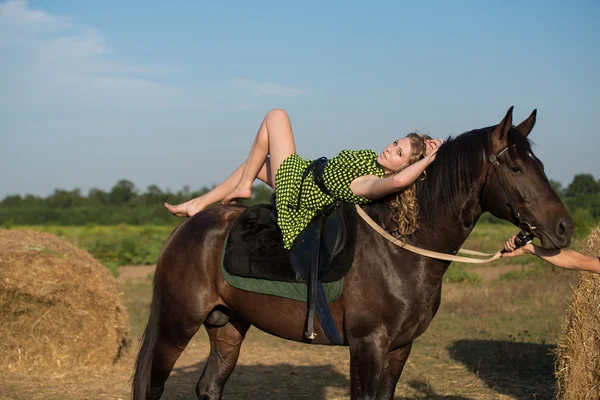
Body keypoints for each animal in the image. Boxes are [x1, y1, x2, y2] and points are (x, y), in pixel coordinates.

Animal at [132, 107, 576, 400]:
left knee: (208, 387)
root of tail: (186, 228)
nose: (564, 228)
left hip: (228, 325)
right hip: (176, 324)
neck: (401, 251)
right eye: (516, 168)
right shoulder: (368, 346)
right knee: (152, 386)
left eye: (538, 163)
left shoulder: (399, 348)